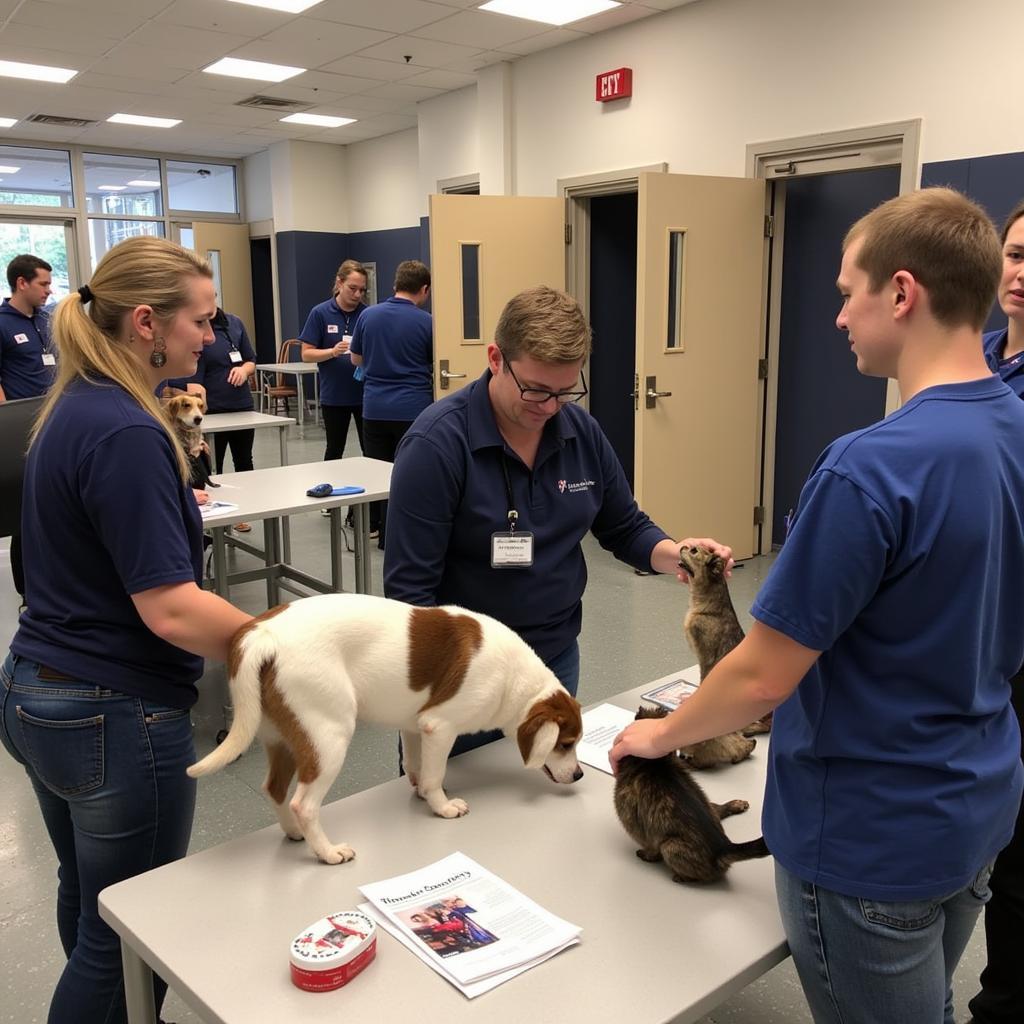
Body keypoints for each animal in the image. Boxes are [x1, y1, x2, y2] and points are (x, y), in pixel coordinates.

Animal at [186, 593, 585, 864]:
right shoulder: (440, 726)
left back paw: (295, 833)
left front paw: (422, 793)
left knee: (275, 789)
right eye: (565, 744)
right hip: (329, 736)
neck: (513, 680)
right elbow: (434, 774)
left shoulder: (416, 726)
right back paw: (327, 852)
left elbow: (416, 766)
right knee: (304, 803)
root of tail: (262, 633)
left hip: (282, 736)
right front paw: (442, 806)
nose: (580, 775)